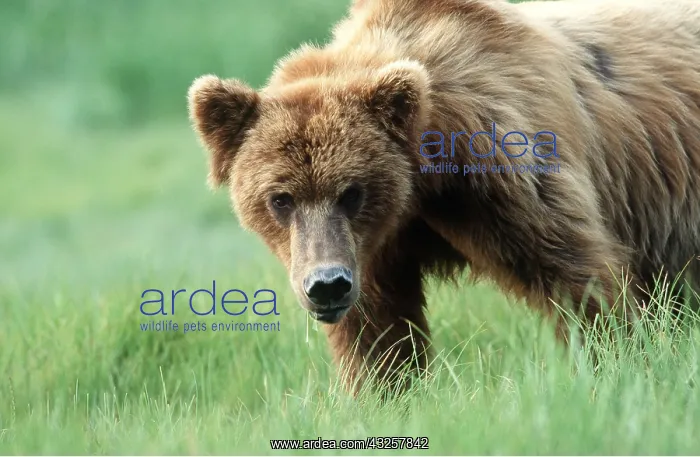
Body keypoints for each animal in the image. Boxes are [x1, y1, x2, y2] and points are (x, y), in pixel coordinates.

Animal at [187, 0, 700, 392]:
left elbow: (580, 281)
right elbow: (379, 328)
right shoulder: (375, 246)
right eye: (281, 198)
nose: (326, 285)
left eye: (352, 192)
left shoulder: (505, 173)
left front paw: (617, 365)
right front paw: (386, 392)